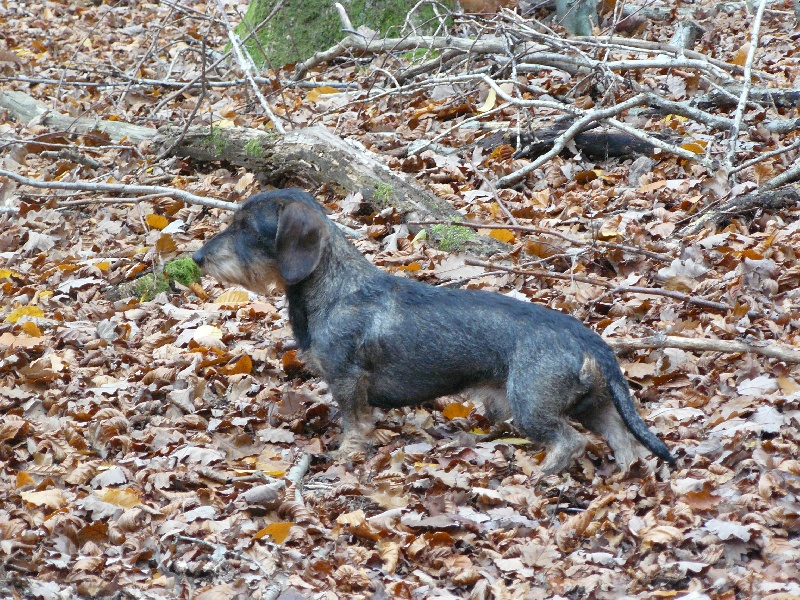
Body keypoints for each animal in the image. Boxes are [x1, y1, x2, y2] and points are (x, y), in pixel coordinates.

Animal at [192, 189, 675, 474]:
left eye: (246, 228)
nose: (197, 258)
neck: (338, 287)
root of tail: (589, 338)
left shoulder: (347, 380)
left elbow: (354, 423)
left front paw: (347, 455)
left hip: (532, 406)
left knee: (571, 442)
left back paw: (542, 476)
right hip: (593, 404)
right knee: (623, 441)